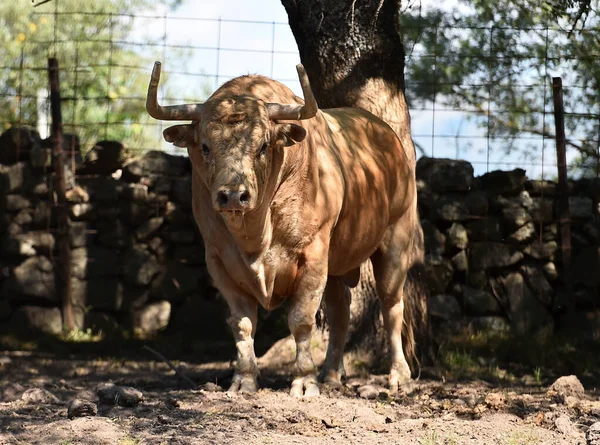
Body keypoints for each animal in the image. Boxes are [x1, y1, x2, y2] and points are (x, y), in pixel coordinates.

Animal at [147, 61, 422, 396]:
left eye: (263, 145)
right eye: (205, 146)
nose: (233, 195)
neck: (255, 237)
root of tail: (389, 138)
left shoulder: (313, 253)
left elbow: (301, 319)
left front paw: (304, 381)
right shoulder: (219, 260)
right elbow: (242, 323)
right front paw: (244, 379)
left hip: (396, 240)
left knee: (392, 307)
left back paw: (399, 376)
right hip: (336, 262)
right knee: (340, 313)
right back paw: (331, 373)